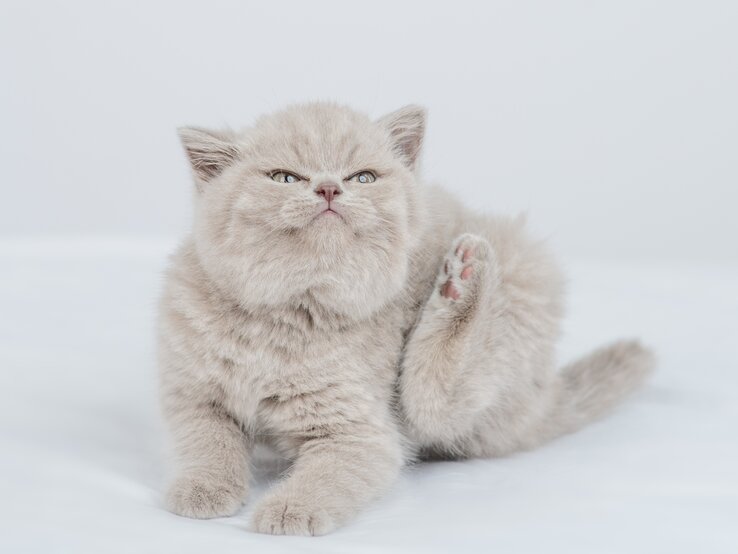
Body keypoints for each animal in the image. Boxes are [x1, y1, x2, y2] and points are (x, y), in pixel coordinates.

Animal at [158, 101, 652, 532]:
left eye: (362, 177)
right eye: (284, 177)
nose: (329, 188)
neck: (291, 313)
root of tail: (547, 389)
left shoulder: (361, 432)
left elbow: (330, 474)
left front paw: (289, 510)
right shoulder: (192, 392)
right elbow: (207, 440)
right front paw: (201, 489)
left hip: (511, 307)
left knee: (439, 394)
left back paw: (463, 282)